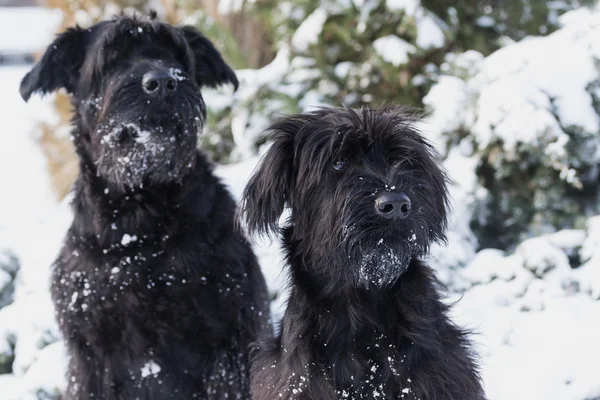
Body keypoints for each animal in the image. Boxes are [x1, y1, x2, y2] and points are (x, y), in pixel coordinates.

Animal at [21, 12, 270, 400]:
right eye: (112, 56)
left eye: (178, 56)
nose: (164, 82)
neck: (139, 219)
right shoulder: (90, 354)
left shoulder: (230, 344)